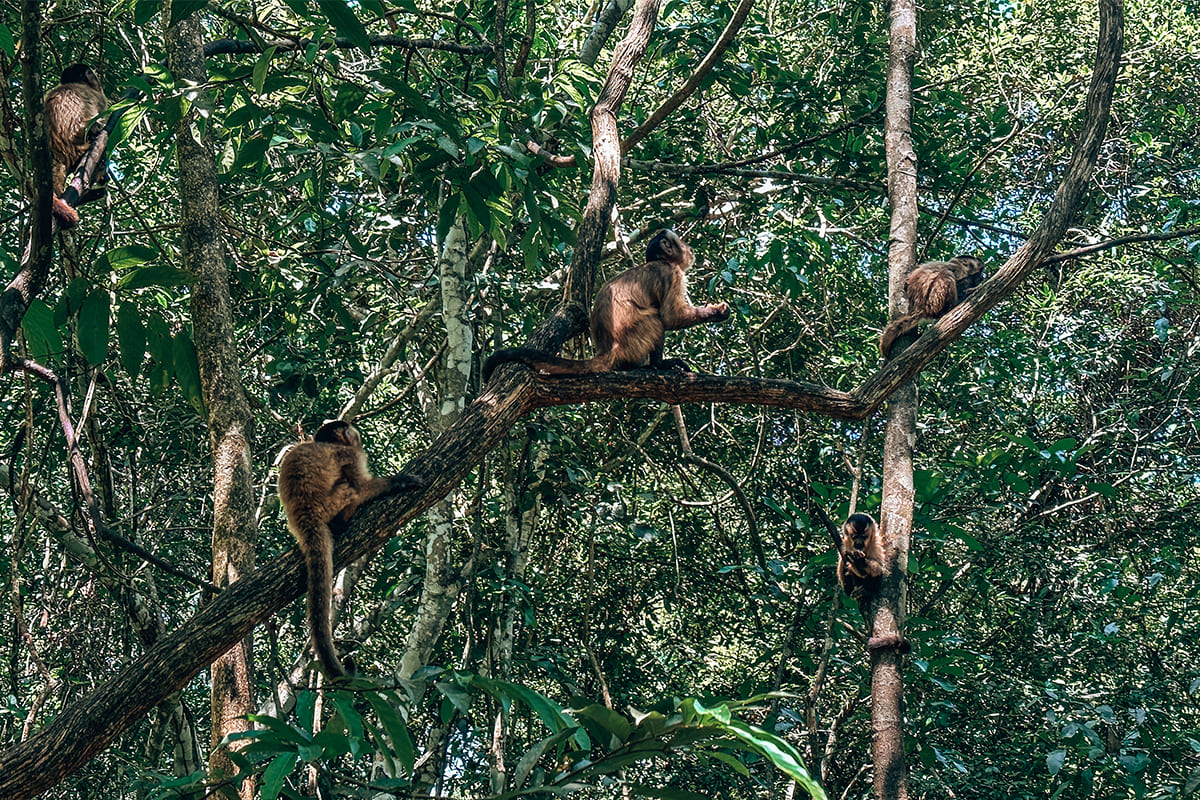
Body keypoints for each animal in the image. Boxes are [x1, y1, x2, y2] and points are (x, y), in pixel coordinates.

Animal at [276, 422, 422, 681]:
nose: (356, 434)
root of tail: (305, 517)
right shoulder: (349, 454)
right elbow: (361, 483)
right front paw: (400, 481)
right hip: (331, 501)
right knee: (350, 488)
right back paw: (342, 520)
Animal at [480, 230, 729, 383]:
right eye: (681, 243)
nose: (690, 248)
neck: (661, 261)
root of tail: (607, 350)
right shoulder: (669, 272)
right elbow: (669, 317)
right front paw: (716, 312)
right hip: (632, 339)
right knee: (654, 319)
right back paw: (658, 364)